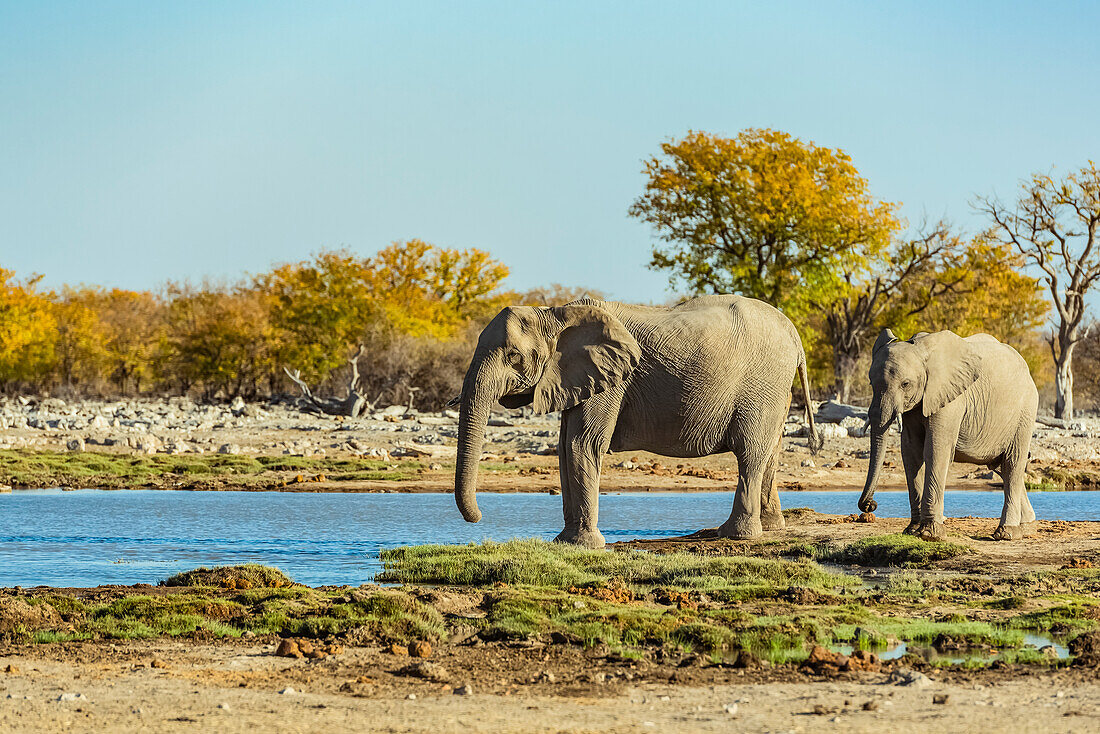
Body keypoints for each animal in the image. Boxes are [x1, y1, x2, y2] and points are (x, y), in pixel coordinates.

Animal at [451, 294, 822, 548]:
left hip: (762, 384)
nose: (479, 518)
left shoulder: (611, 380)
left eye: (513, 356)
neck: (555, 313)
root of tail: (794, 333)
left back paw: (734, 534)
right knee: (769, 452)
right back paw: (771, 527)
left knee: (750, 452)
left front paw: (584, 545)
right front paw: (565, 542)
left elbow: (581, 444)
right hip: (775, 389)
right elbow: (564, 446)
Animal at [858, 330, 1038, 543]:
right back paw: (1026, 527)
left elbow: (935, 450)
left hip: (1024, 412)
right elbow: (911, 452)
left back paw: (1006, 533)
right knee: (1000, 466)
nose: (871, 505)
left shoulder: (950, 399)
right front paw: (912, 530)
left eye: (905, 384)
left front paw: (929, 534)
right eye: (871, 383)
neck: (922, 351)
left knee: (1012, 465)